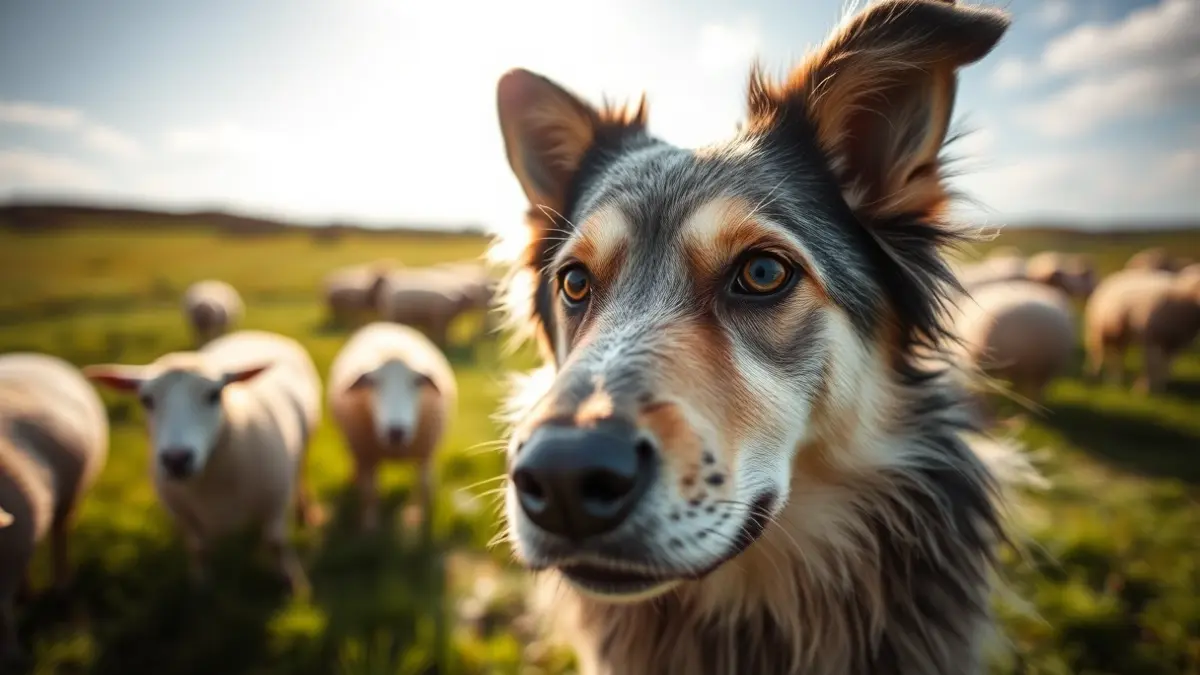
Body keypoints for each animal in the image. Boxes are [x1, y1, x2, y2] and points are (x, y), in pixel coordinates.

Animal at [83, 330, 322, 593]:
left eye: (214, 394)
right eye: (146, 400)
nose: (176, 459)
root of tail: (255, 333)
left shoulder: (275, 501)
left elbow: (276, 543)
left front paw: (292, 583)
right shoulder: (181, 513)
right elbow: (198, 548)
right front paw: (202, 585)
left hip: (304, 444)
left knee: (301, 475)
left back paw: (306, 512)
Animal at [328, 322, 456, 533]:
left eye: (417, 382)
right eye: (373, 382)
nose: (396, 431)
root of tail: (384, 324)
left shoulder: (425, 454)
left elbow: (425, 487)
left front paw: (422, 522)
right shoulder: (366, 455)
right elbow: (369, 493)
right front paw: (370, 526)